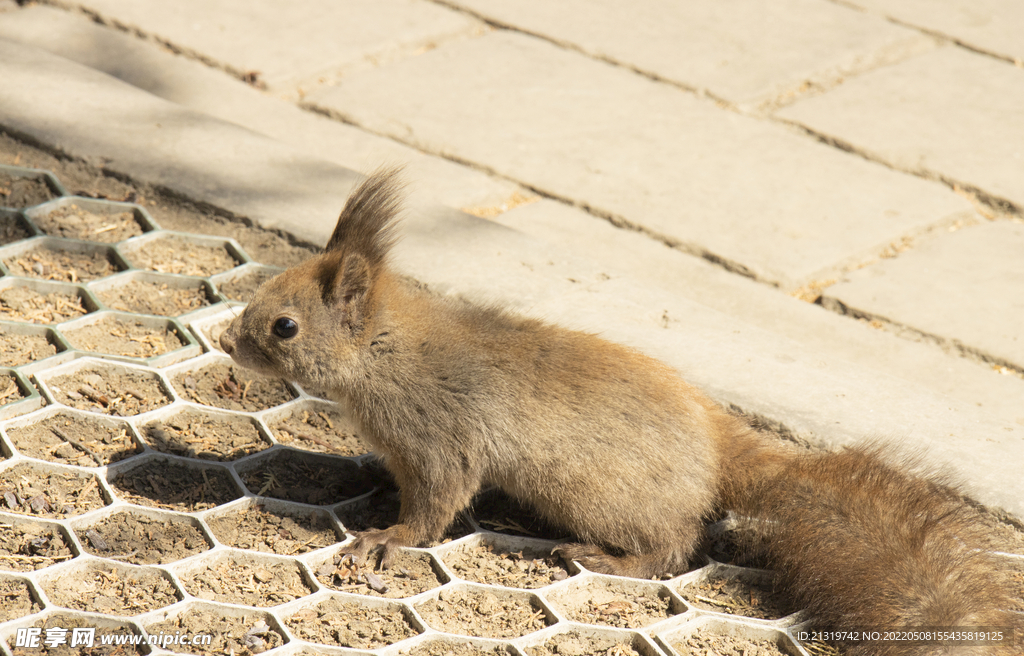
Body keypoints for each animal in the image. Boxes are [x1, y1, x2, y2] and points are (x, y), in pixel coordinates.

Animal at [222, 169, 1015, 654]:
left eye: (284, 326)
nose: (228, 341)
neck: (385, 353)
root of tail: (718, 452)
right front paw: (365, 478)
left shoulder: (441, 436)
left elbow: (436, 503)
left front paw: (385, 537)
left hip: (599, 495)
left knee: (672, 548)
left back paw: (602, 555)